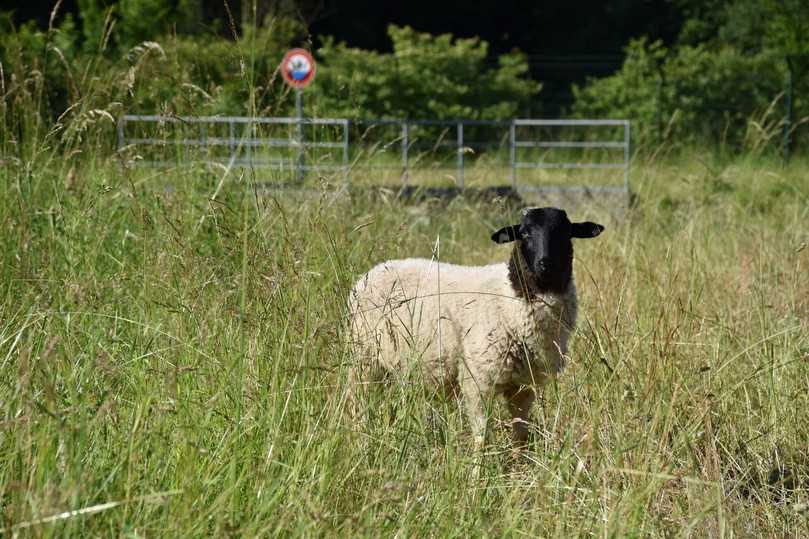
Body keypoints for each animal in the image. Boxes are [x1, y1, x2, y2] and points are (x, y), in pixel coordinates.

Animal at [344, 209, 604, 450]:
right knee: (358, 402)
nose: (545, 264)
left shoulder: (524, 387)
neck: (509, 297)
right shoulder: (477, 380)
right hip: (364, 360)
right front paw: (480, 470)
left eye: (565, 233)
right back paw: (360, 436)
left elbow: (520, 437)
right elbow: (482, 440)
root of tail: (377, 269)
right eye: (524, 233)